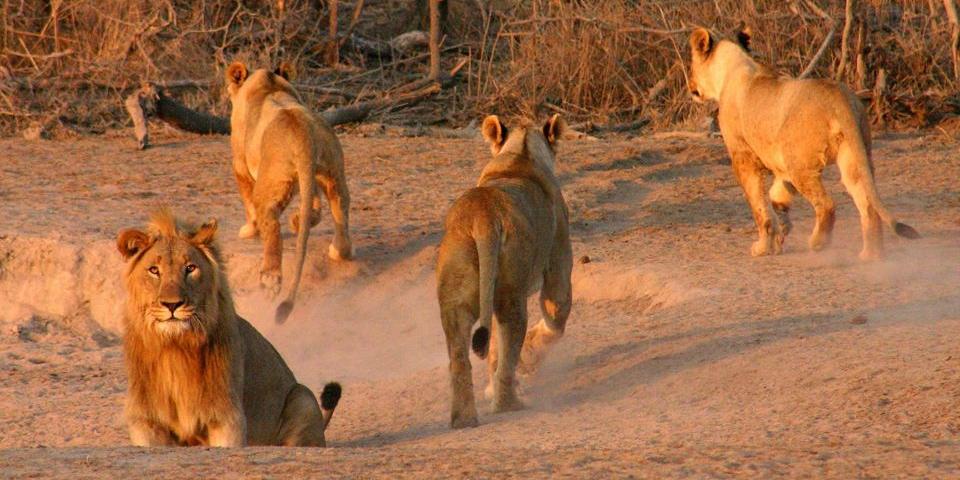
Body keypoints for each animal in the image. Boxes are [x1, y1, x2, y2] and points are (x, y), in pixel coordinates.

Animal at [116, 210, 342, 446]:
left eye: (190, 268)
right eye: (154, 270)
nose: (172, 304)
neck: (176, 347)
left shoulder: (227, 418)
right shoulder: (147, 421)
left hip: (303, 399)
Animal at [225, 60, 352, 322]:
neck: (269, 84)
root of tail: (302, 133)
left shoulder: (239, 163)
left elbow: (247, 200)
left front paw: (249, 230)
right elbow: (313, 203)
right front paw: (300, 220)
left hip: (270, 183)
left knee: (272, 226)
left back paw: (270, 279)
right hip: (332, 172)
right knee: (340, 208)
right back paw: (336, 249)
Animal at [438, 115, 572, 428]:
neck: (519, 154)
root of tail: (483, 216)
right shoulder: (558, 265)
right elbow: (556, 320)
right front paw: (531, 358)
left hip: (455, 299)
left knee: (461, 359)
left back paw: (464, 419)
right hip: (511, 296)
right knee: (508, 349)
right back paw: (510, 403)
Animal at [688, 27, 920, 258]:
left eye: (691, 64)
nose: (690, 86)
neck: (733, 68)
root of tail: (838, 96)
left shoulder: (743, 157)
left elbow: (760, 207)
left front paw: (762, 247)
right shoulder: (781, 165)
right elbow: (776, 197)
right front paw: (780, 232)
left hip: (800, 165)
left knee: (827, 205)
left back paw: (818, 243)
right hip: (853, 157)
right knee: (868, 206)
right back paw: (870, 256)